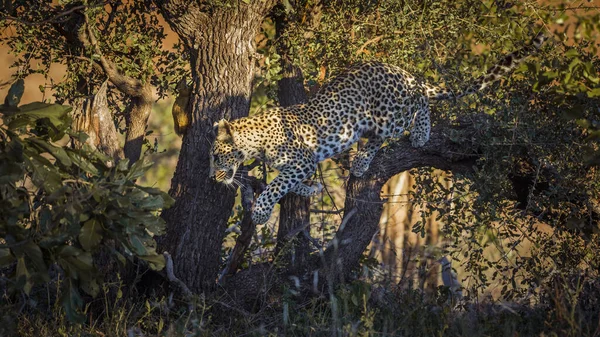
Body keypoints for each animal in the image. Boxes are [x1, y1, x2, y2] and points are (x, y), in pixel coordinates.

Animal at [209, 33, 548, 223]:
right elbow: (287, 183)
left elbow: (276, 186)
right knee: (373, 139)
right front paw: (311, 189)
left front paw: (261, 212)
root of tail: (400, 70)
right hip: (370, 124)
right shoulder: (301, 166)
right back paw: (360, 163)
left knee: (419, 101)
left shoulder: (302, 161)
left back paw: (421, 133)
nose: (212, 177)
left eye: (215, 156)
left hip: (390, 116)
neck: (255, 141)